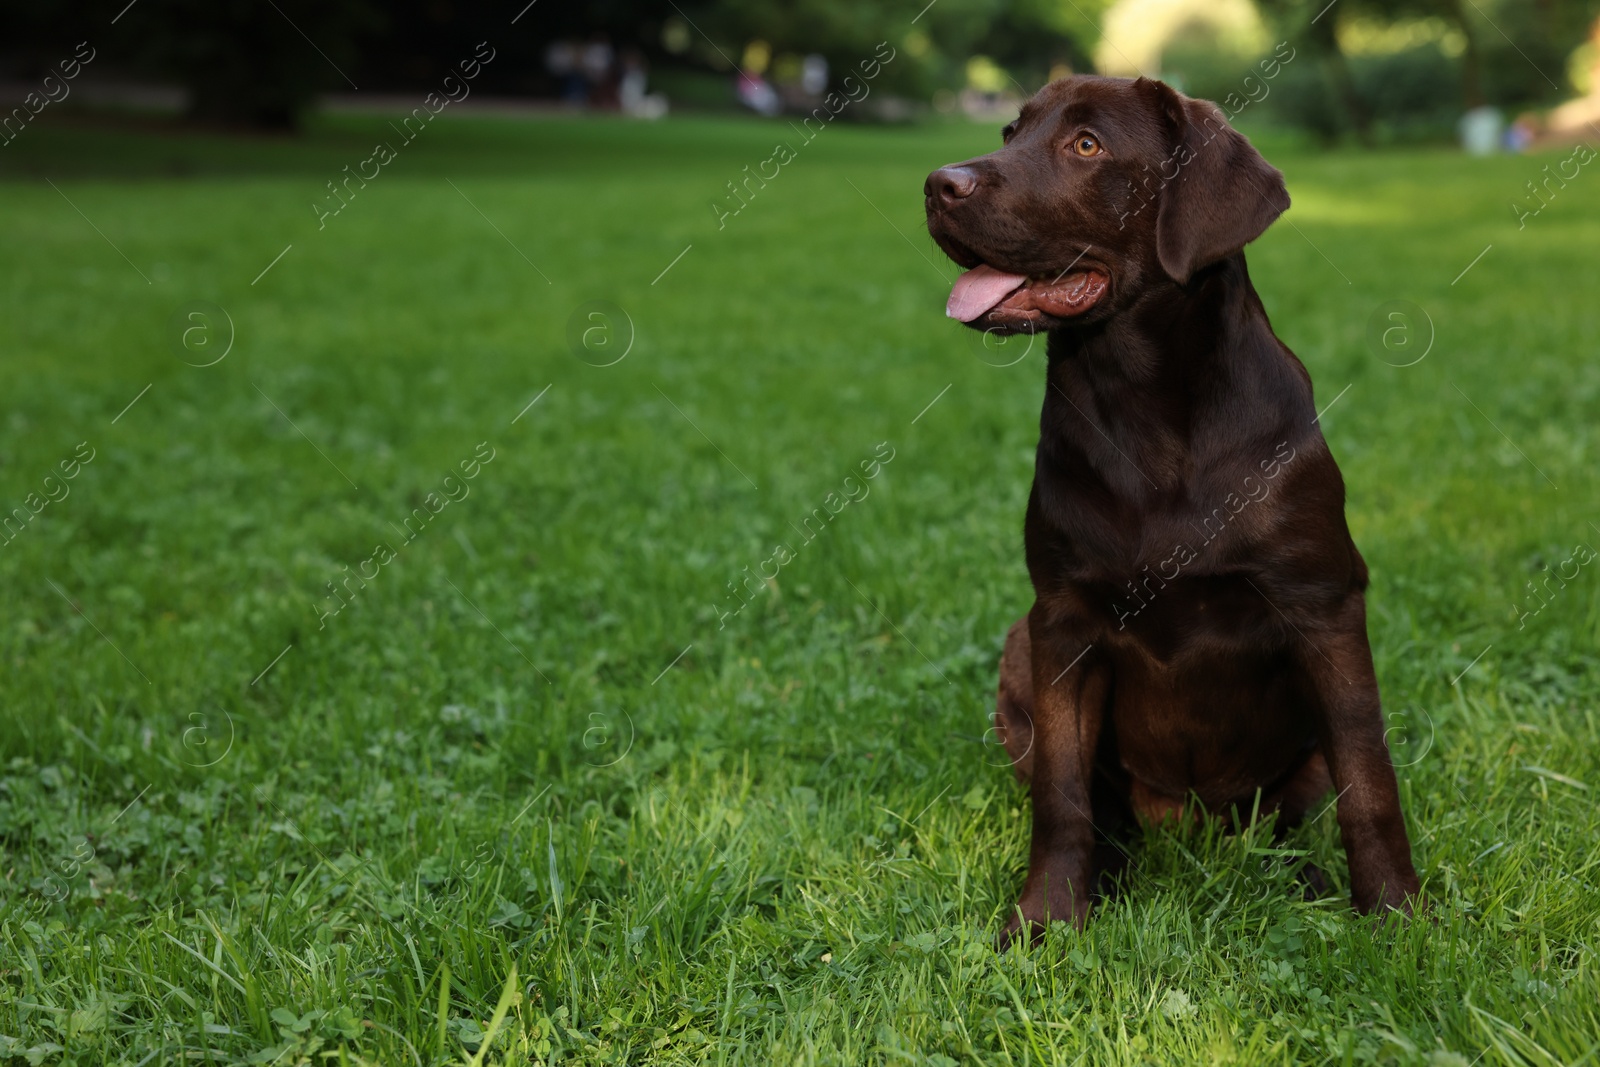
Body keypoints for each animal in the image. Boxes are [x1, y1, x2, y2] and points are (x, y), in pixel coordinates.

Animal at [928, 75, 1427, 940]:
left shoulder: (1325, 607)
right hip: (1020, 649)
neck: (1142, 410)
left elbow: (1370, 779)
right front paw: (1047, 918)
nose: (937, 184)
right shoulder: (1061, 618)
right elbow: (1061, 794)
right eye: (1010, 131)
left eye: (1086, 144)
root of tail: (1187, 822)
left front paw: (1395, 912)